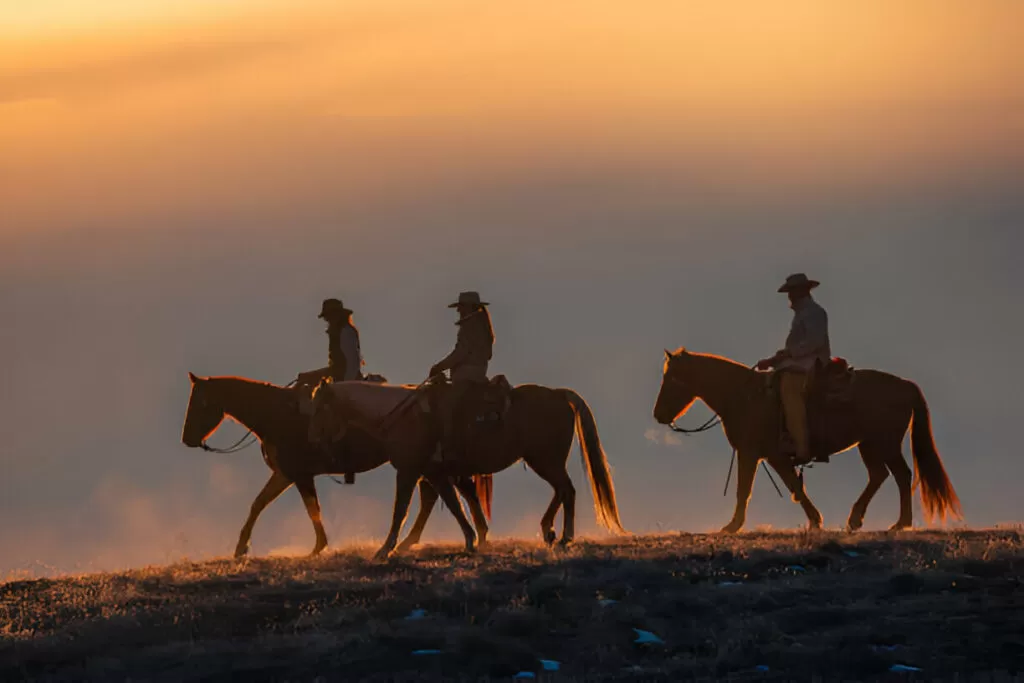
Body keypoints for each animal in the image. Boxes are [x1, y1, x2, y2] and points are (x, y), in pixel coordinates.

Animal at [305, 378, 622, 561]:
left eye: (319, 407)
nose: (314, 440)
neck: (401, 417)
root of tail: (559, 394)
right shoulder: (435, 473)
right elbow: (454, 504)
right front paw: (472, 539)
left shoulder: (408, 472)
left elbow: (401, 510)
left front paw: (385, 549)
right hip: (545, 460)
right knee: (562, 490)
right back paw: (551, 531)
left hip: (545, 460)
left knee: (566, 490)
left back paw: (563, 535)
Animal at [655, 350, 958, 532]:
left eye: (671, 378)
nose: (658, 414)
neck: (744, 397)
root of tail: (905, 384)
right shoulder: (773, 457)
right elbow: (795, 486)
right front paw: (815, 520)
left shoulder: (750, 453)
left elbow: (745, 489)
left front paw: (732, 526)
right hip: (869, 445)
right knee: (879, 475)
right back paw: (856, 519)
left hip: (885, 443)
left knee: (901, 475)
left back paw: (900, 523)